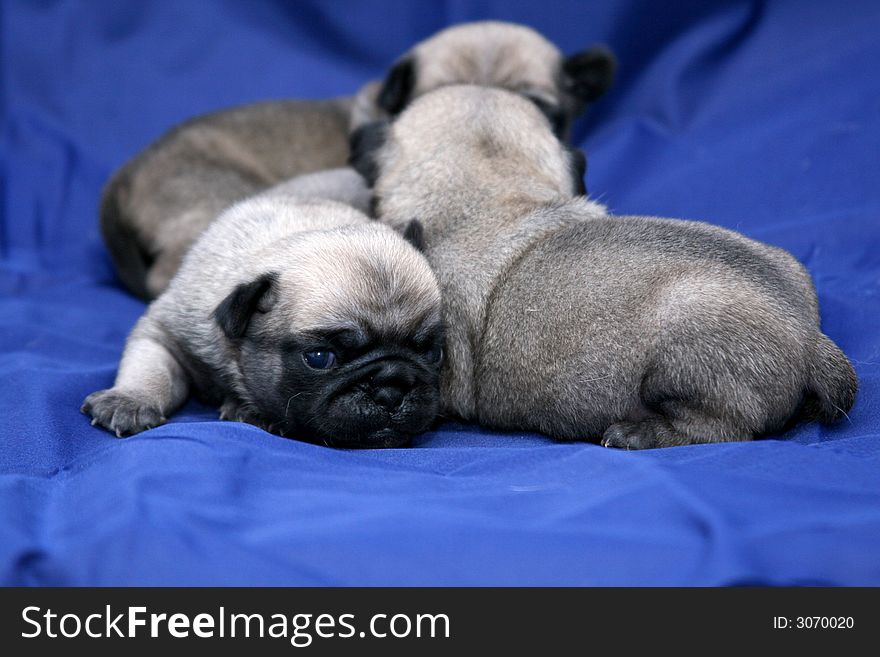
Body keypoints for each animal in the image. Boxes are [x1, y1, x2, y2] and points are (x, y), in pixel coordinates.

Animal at [82, 168, 444, 446]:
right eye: (319, 358)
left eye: (433, 353)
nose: (391, 388)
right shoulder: (165, 333)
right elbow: (151, 368)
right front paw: (130, 399)